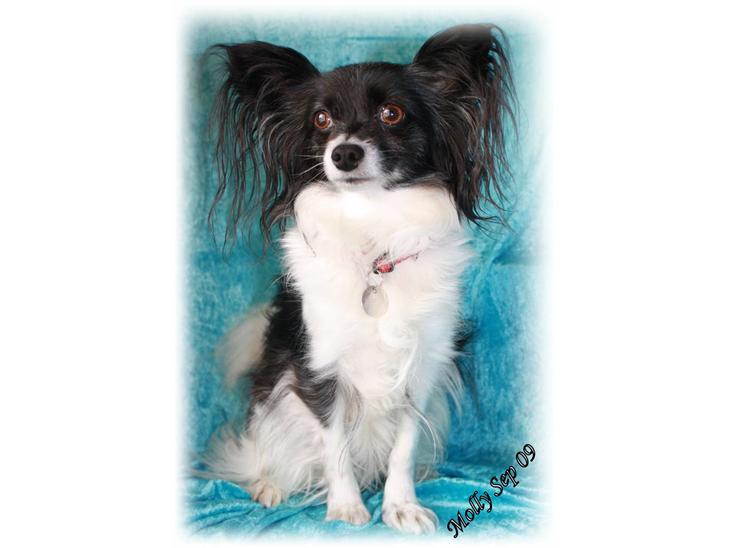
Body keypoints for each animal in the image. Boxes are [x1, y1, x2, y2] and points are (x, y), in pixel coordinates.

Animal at [204, 24, 515, 534]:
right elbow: (334, 444)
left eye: (392, 114)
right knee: (265, 443)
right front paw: (346, 508)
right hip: (277, 393)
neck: (373, 239)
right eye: (321, 119)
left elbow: (404, 447)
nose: (344, 152)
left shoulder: (420, 368)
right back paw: (268, 485)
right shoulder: (318, 368)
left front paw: (399, 507)